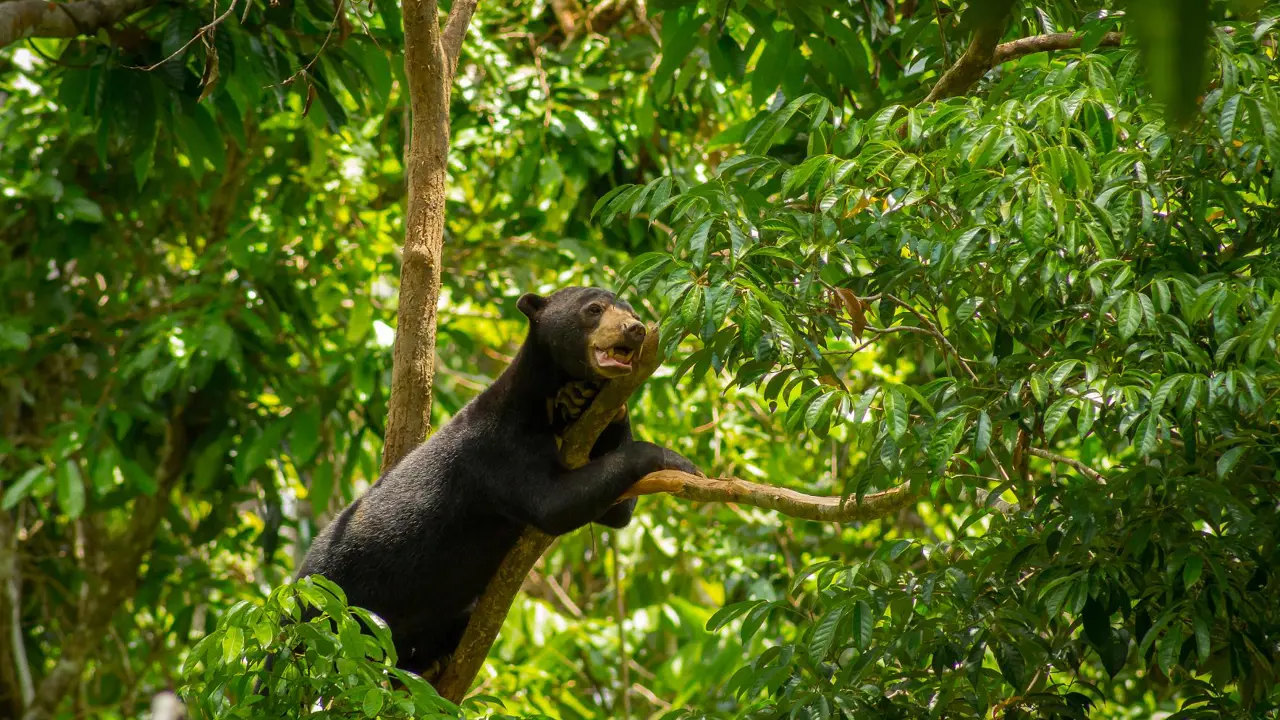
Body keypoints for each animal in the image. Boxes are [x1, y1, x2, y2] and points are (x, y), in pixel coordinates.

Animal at [295, 286, 699, 677]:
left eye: (632, 311)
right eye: (594, 309)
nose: (636, 329)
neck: (540, 400)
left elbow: (615, 512)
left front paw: (583, 399)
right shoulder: (497, 447)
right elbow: (553, 503)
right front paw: (679, 461)